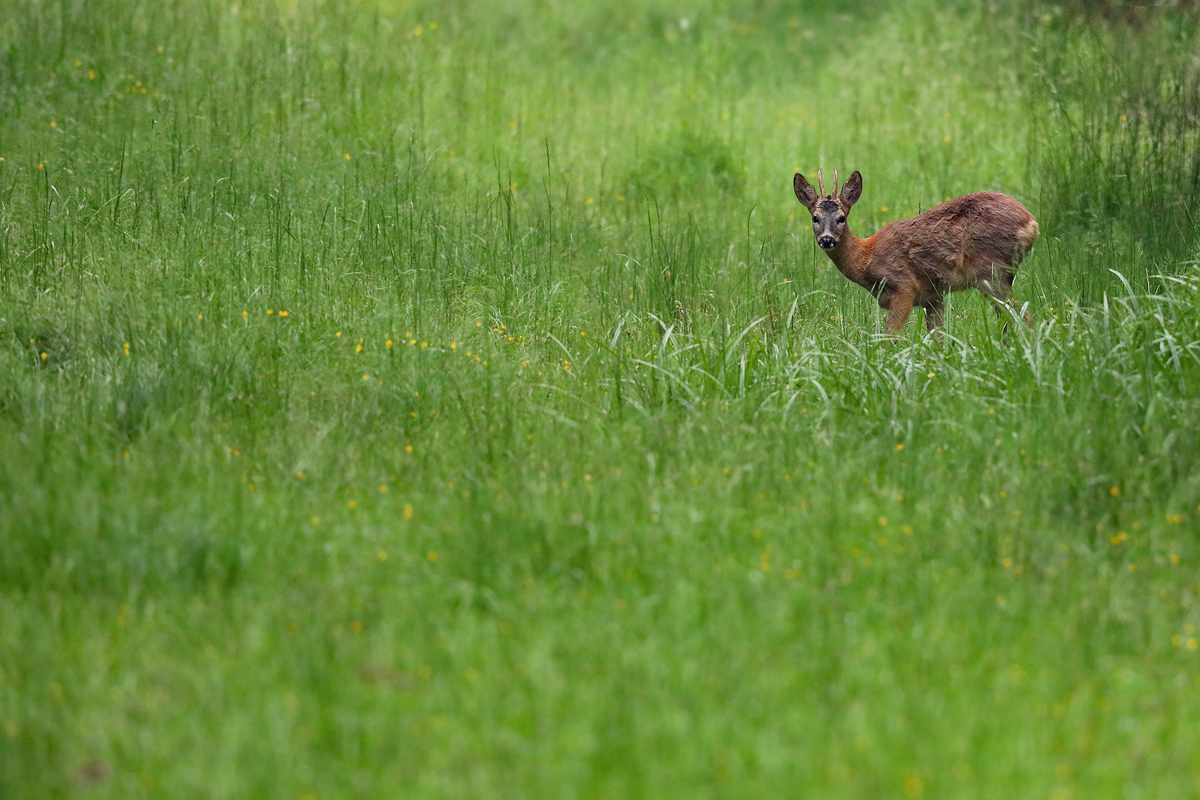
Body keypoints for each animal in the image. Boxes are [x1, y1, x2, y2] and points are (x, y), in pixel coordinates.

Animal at [792, 169, 1036, 338]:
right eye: (815, 218)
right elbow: (939, 339)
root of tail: (1031, 223)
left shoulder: (904, 285)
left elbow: (890, 338)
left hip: (990, 271)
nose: (827, 239)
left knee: (1024, 318)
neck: (865, 257)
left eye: (841, 218)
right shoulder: (933, 296)